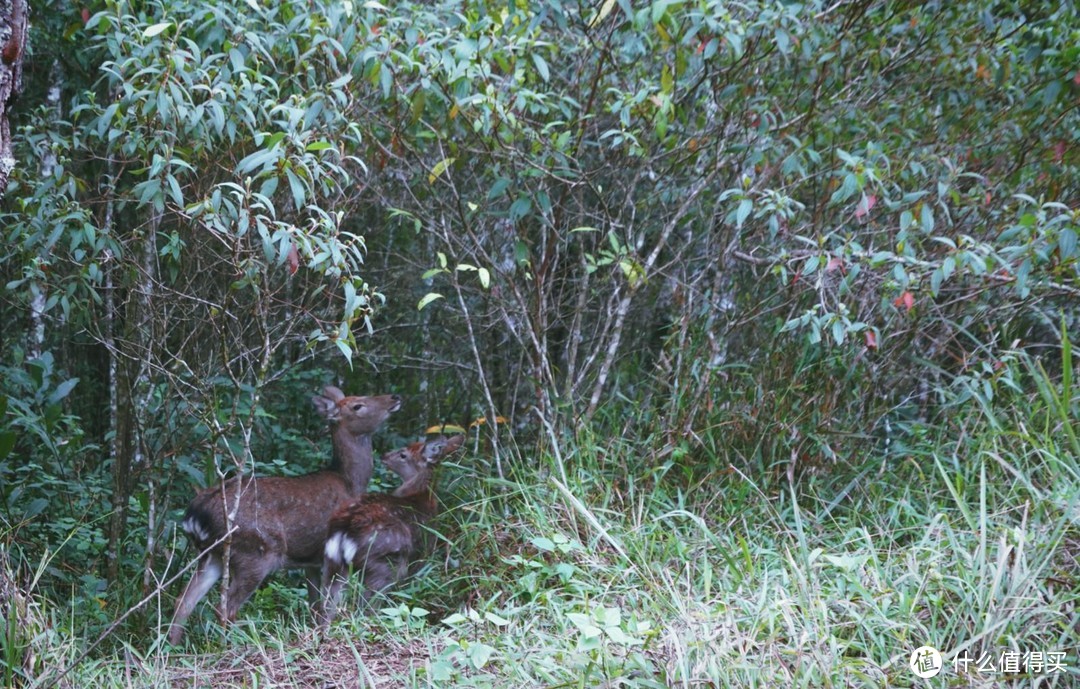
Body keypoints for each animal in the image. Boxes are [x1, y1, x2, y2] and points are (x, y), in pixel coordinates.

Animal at [166, 386, 403, 643]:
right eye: (358, 405)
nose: (394, 397)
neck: (349, 483)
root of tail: (196, 514)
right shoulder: (336, 551)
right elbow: (329, 604)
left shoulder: (311, 560)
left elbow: (314, 605)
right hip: (256, 552)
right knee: (225, 608)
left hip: (212, 554)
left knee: (183, 602)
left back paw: (173, 647)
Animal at [315, 434, 462, 630]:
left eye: (403, 454)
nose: (384, 456)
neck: (421, 497)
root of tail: (345, 527)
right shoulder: (424, 551)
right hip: (382, 564)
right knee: (367, 606)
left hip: (332, 561)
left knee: (327, 604)